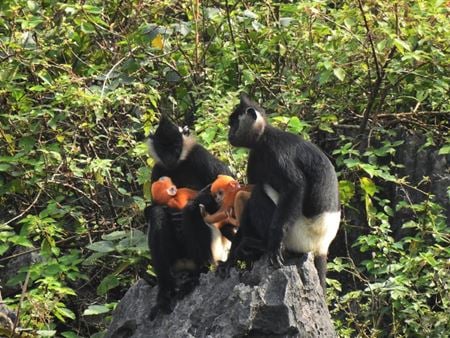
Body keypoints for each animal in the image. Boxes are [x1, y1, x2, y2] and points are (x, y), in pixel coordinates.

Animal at [146, 117, 234, 320]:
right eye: (163, 148)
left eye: (175, 146)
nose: (170, 157)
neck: (178, 165)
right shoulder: (158, 169)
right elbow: (155, 208)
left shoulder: (199, 154)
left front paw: (196, 200)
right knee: (157, 214)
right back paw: (165, 291)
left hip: (216, 250)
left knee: (193, 211)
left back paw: (197, 273)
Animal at [219, 92, 342, 294]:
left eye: (234, 123)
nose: (229, 133)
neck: (264, 137)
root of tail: (322, 245)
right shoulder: (256, 155)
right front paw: (230, 260)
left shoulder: (276, 151)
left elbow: (295, 186)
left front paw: (274, 243)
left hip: (298, 234)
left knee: (260, 193)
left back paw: (265, 245)